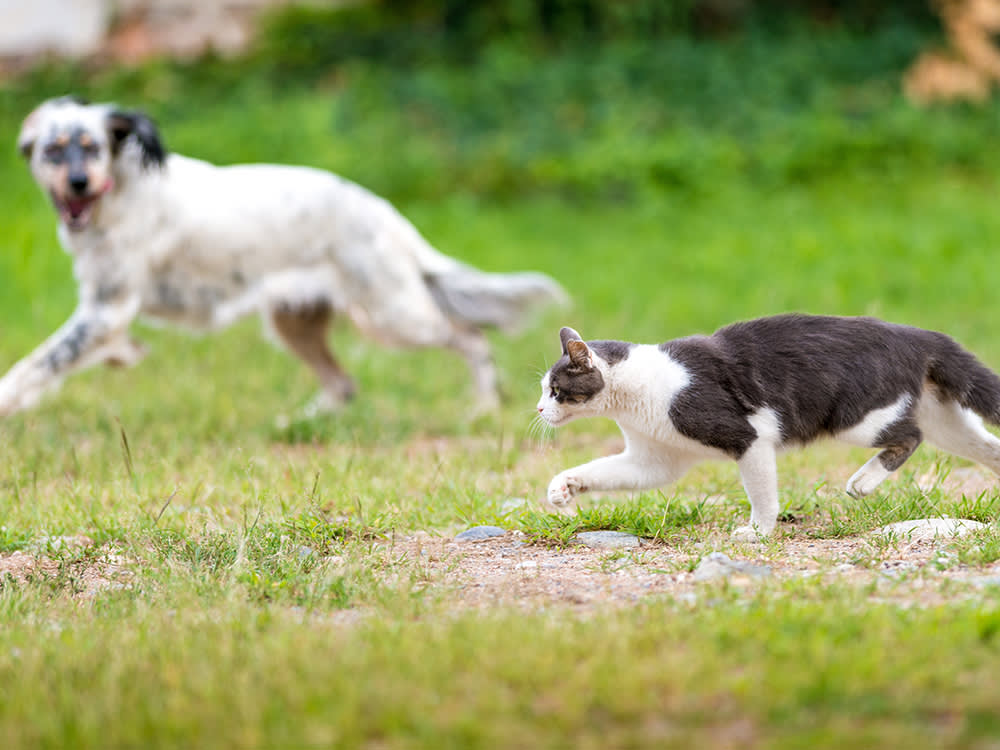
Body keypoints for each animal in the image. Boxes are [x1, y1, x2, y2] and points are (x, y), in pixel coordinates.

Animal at [0, 95, 568, 418]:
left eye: (92, 146)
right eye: (53, 150)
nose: (78, 182)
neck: (117, 194)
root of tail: (386, 214)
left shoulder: (105, 311)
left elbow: (33, 366)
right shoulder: (102, 313)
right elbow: (73, 356)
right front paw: (125, 356)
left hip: (394, 316)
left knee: (470, 337)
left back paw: (484, 407)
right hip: (294, 322)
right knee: (344, 385)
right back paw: (302, 422)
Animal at [536, 316, 1000, 540]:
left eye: (556, 390)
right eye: (545, 390)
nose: (540, 409)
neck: (634, 395)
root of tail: (920, 336)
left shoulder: (747, 437)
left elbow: (761, 493)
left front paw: (758, 532)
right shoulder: (653, 458)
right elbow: (608, 471)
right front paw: (563, 487)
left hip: (858, 418)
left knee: (909, 436)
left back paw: (863, 482)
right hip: (946, 421)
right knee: (985, 445)